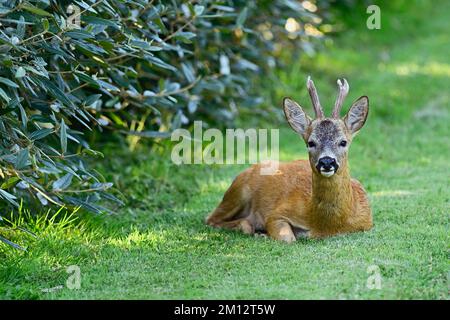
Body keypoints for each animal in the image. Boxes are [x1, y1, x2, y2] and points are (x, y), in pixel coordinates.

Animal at [206, 77, 370, 242]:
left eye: (343, 142)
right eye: (311, 142)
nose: (327, 161)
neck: (328, 225)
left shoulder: (367, 221)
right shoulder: (277, 213)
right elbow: (288, 238)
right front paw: (265, 232)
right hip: (238, 192)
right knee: (212, 219)